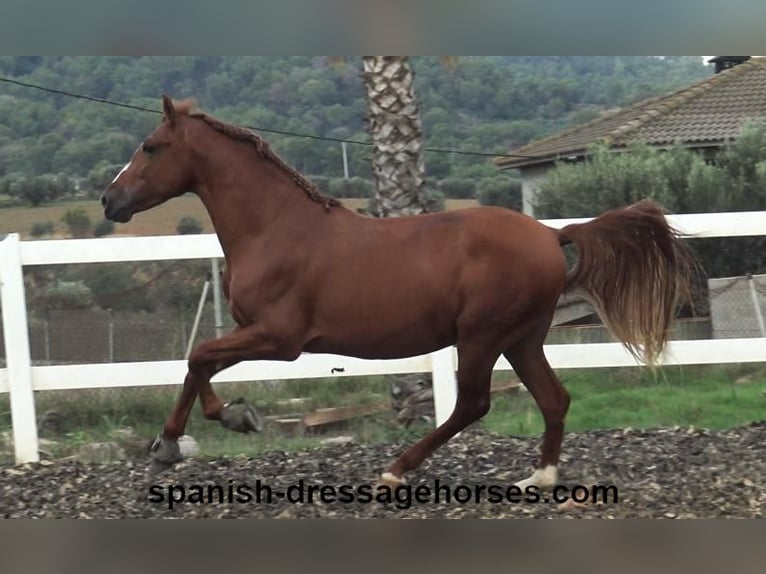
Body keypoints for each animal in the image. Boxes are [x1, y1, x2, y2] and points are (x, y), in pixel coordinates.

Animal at [100, 97, 696, 488]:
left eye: (151, 147)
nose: (110, 201)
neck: (275, 228)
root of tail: (552, 235)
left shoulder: (279, 337)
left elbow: (197, 356)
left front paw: (197, 434)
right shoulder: (258, 334)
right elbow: (198, 363)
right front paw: (200, 433)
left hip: (482, 336)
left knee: (473, 403)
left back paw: (395, 470)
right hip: (522, 339)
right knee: (553, 399)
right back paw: (540, 479)